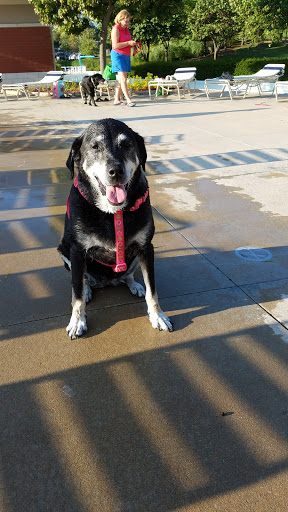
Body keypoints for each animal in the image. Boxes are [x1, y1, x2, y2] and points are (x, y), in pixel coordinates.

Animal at [57, 118, 172, 338]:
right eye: (95, 146)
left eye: (127, 144)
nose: (116, 171)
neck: (112, 212)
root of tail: (106, 283)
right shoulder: (77, 251)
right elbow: (76, 296)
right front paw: (77, 322)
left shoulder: (146, 248)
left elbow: (152, 290)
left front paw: (158, 316)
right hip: (63, 250)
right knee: (81, 281)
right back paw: (87, 288)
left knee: (127, 275)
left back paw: (134, 284)